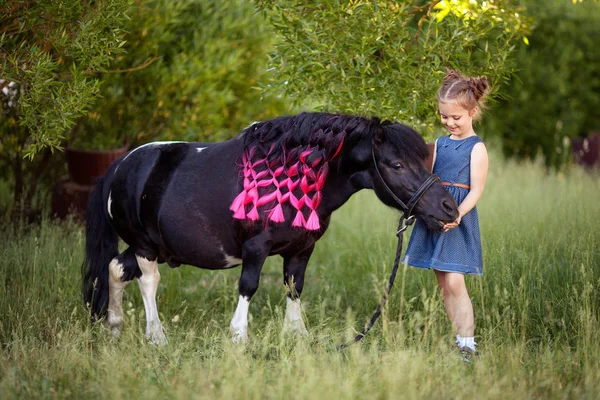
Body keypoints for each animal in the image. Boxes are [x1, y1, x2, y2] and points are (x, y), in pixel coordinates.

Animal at [84, 112, 458, 344]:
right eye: (396, 164)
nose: (448, 207)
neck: (295, 175)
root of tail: (119, 166)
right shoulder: (255, 249)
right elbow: (248, 286)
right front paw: (238, 337)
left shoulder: (302, 250)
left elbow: (294, 287)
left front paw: (299, 337)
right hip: (146, 247)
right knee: (148, 282)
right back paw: (157, 337)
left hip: (156, 247)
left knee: (116, 268)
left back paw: (115, 328)